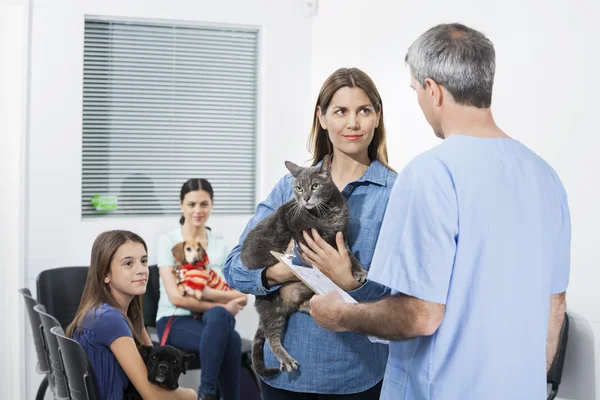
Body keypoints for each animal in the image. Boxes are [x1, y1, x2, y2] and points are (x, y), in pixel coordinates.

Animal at [239, 155, 366, 376]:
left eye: (315, 186)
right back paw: (287, 359)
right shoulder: (303, 234)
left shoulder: (341, 236)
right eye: (298, 188)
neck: (329, 212)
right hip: (271, 305)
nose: (305, 198)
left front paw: (358, 271)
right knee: (272, 336)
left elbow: (349, 255)